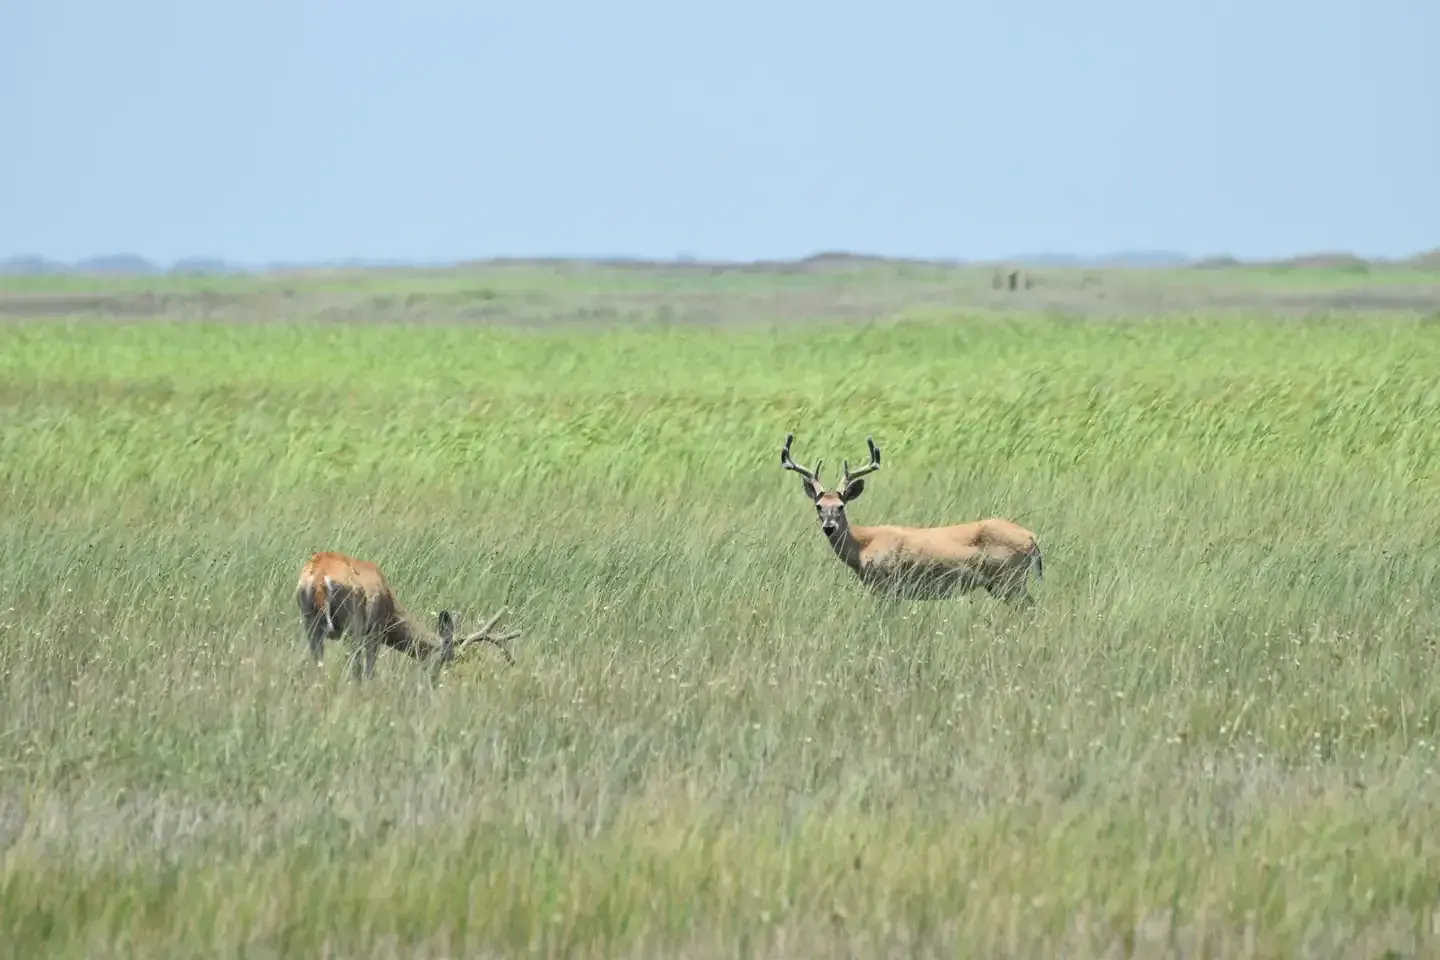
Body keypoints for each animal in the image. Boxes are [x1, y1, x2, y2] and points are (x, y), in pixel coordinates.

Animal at [295, 551, 519, 681]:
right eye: (448, 658)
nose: (434, 681)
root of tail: (319, 579)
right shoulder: (375, 631)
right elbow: (369, 670)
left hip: (310, 623)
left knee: (317, 663)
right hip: (353, 624)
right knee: (355, 667)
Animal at [779, 433, 1044, 604]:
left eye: (841, 506)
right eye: (819, 506)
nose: (829, 527)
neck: (863, 545)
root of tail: (1032, 538)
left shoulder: (887, 586)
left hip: (1009, 578)